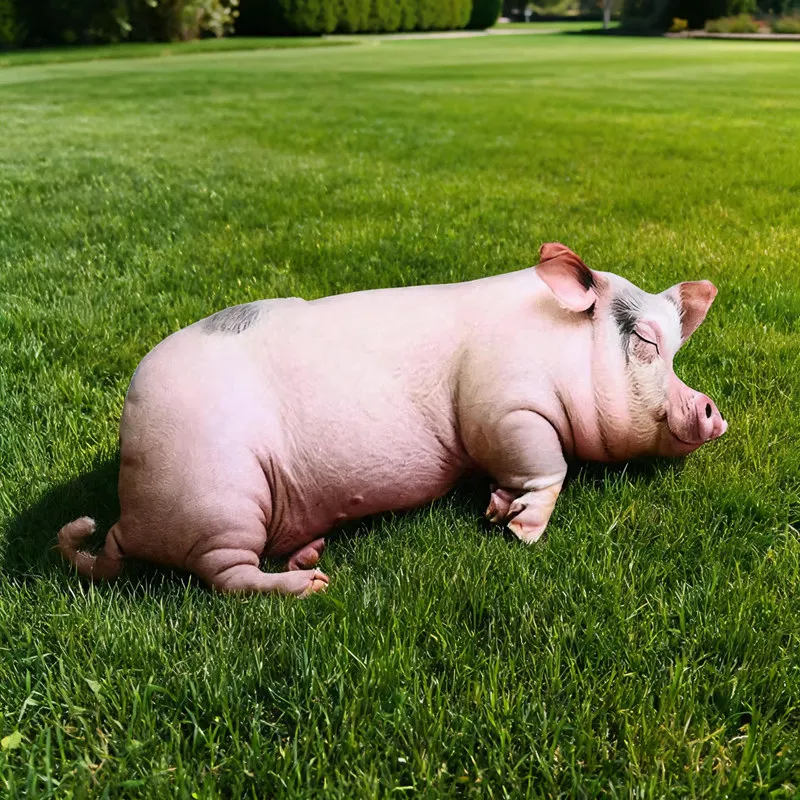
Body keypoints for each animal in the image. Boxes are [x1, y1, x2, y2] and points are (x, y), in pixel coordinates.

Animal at [58, 243, 727, 597]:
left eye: (677, 348)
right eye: (645, 341)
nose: (712, 410)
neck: (562, 351)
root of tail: (128, 517)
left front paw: (495, 510)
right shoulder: (505, 407)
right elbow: (547, 465)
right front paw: (521, 531)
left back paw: (309, 553)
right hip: (219, 498)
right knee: (229, 577)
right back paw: (312, 585)